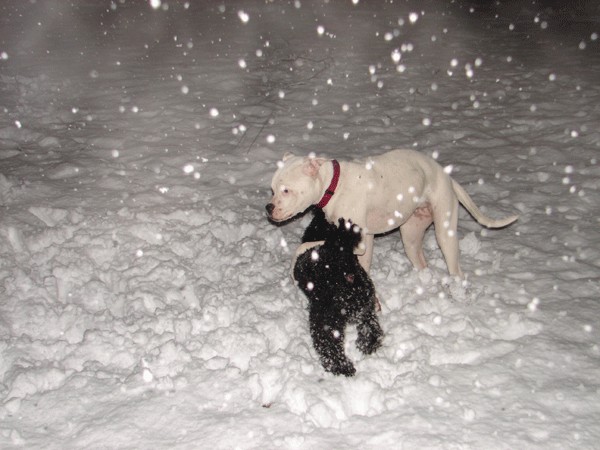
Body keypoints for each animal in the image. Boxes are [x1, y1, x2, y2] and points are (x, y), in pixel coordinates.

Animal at [264, 150, 516, 278]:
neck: (333, 184)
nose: (269, 207)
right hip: (411, 236)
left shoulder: (355, 241)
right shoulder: (364, 241)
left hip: (445, 234)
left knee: (457, 271)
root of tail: (446, 175)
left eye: (286, 190)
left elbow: (304, 246)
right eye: (273, 189)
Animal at [292, 211, 382, 376]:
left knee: (328, 343)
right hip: (365, 305)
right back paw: (368, 343)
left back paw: (340, 366)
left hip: (325, 315)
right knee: (371, 325)